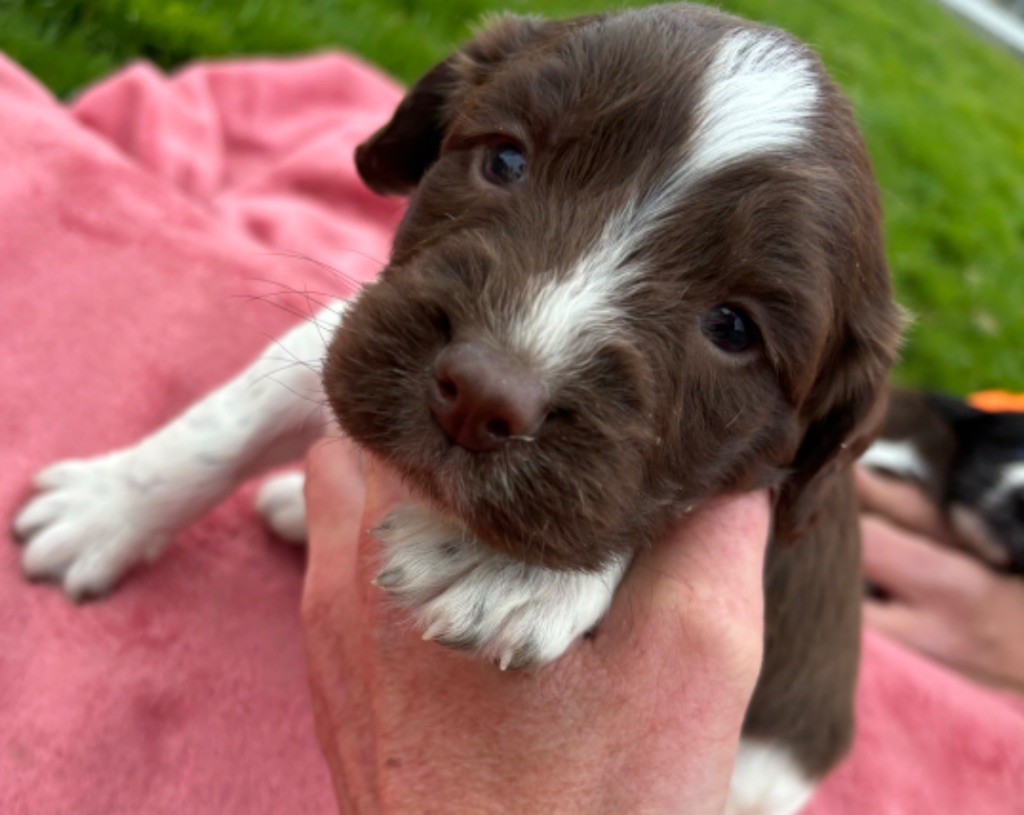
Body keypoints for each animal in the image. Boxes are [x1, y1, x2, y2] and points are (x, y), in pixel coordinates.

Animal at [14, 6, 897, 815]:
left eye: (734, 328)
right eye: (506, 159)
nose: (478, 397)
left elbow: (659, 505)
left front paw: (508, 572)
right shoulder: (353, 333)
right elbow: (226, 422)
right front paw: (103, 507)